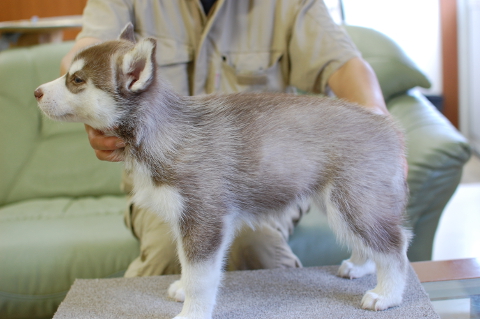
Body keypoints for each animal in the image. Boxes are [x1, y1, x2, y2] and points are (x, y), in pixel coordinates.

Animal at [36, 24, 412, 319]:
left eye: (76, 80)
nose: (36, 91)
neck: (163, 131)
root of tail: (388, 124)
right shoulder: (185, 221)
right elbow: (188, 267)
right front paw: (182, 287)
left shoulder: (204, 219)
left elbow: (201, 276)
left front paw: (192, 313)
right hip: (338, 202)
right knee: (371, 240)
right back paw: (361, 265)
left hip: (354, 200)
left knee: (395, 246)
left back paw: (387, 294)